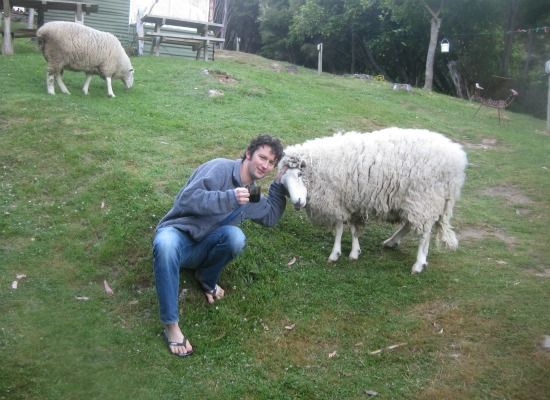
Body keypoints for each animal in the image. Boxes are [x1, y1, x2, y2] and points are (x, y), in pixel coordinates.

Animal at [280, 126, 470, 274]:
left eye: (299, 174)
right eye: (284, 184)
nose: (297, 203)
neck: (320, 169)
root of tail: (457, 162)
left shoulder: (337, 200)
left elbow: (340, 228)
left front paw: (335, 253)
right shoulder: (353, 201)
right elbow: (354, 229)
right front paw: (354, 252)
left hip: (425, 200)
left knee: (424, 233)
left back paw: (418, 264)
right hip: (414, 202)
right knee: (409, 224)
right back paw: (391, 242)